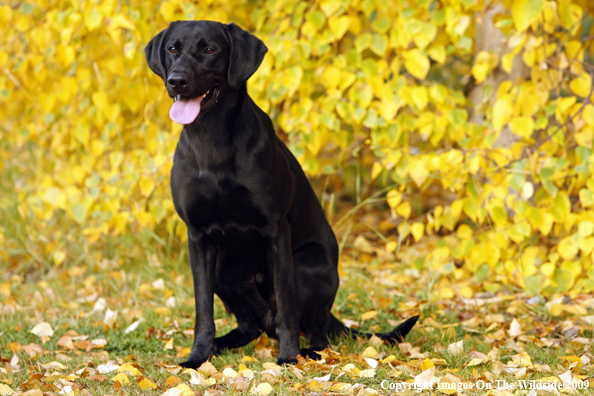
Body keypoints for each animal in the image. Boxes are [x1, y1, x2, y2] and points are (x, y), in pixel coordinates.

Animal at [146, 20, 418, 368]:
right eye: (172, 49)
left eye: (209, 50)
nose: (176, 80)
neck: (212, 141)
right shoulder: (197, 237)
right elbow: (202, 310)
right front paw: (197, 357)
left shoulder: (276, 232)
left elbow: (287, 309)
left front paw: (288, 357)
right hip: (223, 271)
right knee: (251, 326)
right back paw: (222, 344)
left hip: (305, 268)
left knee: (315, 329)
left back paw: (310, 352)